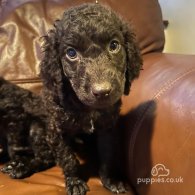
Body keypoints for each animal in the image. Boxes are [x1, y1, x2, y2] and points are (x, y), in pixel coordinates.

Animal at [40, 3, 142, 195]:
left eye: (114, 45)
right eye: (71, 53)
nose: (102, 92)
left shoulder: (108, 127)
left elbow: (107, 154)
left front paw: (110, 180)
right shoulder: (56, 130)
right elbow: (68, 158)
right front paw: (74, 181)